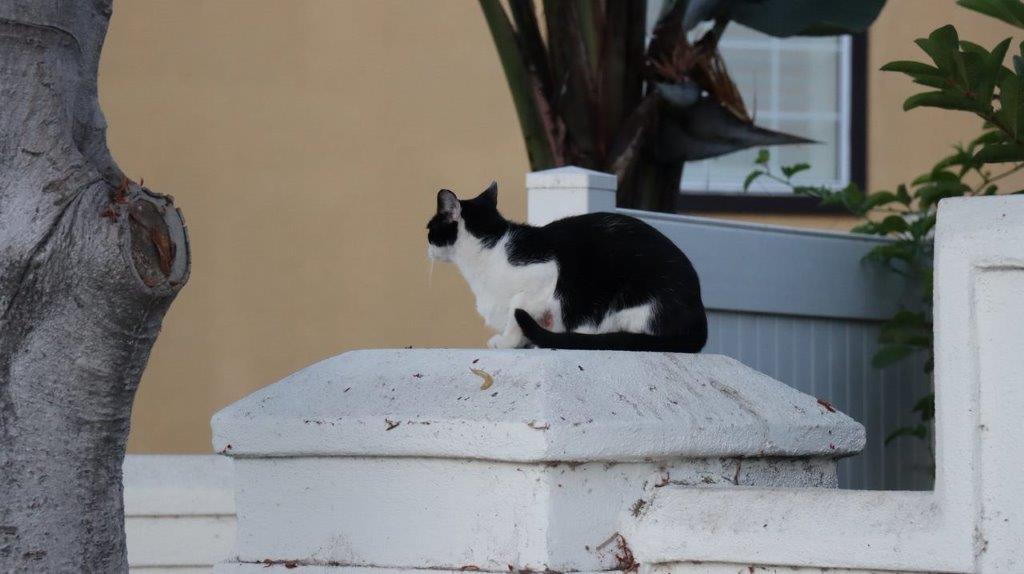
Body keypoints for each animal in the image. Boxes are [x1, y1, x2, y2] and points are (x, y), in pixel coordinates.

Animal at [428, 181, 708, 351]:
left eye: (429, 229)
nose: (427, 248)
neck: (491, 246)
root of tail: (699, 318)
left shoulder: (545, 272)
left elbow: (516, 310)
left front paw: (507, 341)